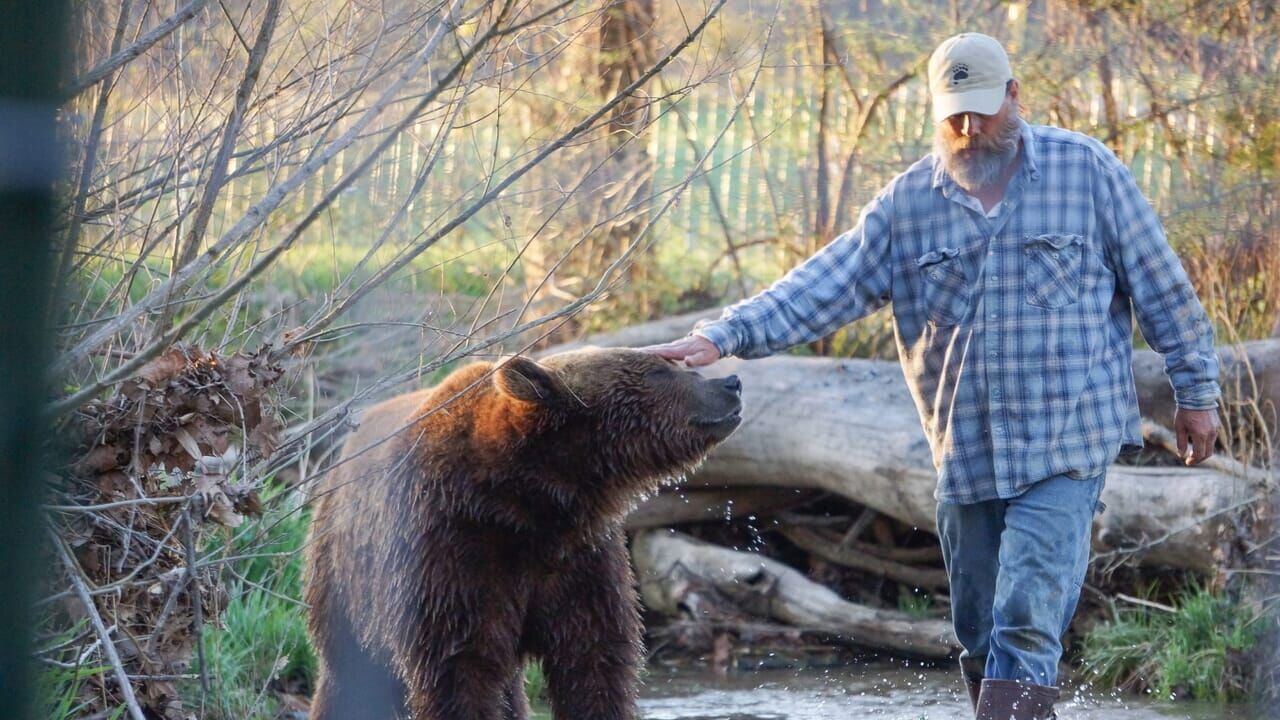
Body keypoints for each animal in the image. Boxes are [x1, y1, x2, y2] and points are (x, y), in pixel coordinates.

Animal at [302, 345, 742, 712]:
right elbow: (459, 667)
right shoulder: (450, 547)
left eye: (671, 364)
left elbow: (595, 659)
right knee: (348, 676)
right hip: (347, 582)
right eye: (659, 370)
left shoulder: (580, 557)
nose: (731, 382)